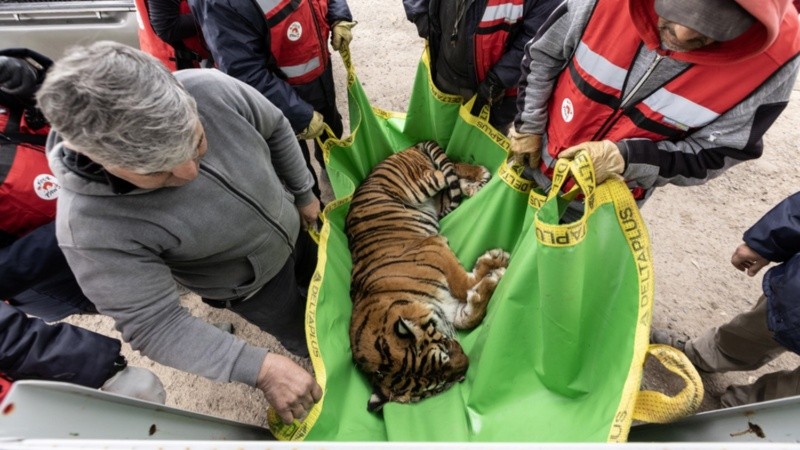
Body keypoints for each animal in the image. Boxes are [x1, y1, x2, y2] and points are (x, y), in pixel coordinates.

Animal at [345, 140, 509, 412]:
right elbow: (470, 315)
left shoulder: (434, 246)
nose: (466, 367)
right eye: (438, 386)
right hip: (435, 198)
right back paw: (474, 184)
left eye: (444, 349)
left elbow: (462, 284)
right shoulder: (451, 309)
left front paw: (496, 261)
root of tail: (405, 150)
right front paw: (490, 277)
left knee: (444, 170)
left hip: (420, 184)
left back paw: (478, 175)